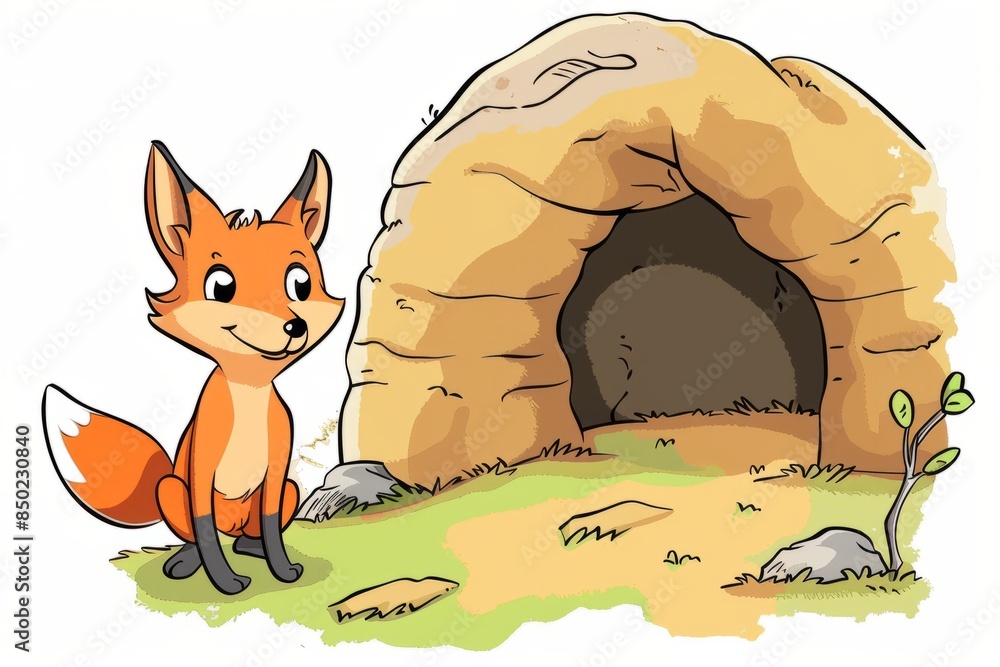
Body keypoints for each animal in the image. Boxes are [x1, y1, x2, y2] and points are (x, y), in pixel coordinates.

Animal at [41, 141, 345, 595]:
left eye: (300, 284)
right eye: (221, 286)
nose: (295, 326)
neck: (248, 394)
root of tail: (231, 526)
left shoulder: (278, 471)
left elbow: (272, 526)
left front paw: (283, 570)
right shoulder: (201, 468)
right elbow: (204, 529)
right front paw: (226, 583)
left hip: (287, 490)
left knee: (247, 535)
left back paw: (249, 548)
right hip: (171, 488)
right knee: (199, 537)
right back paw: (186, 561)